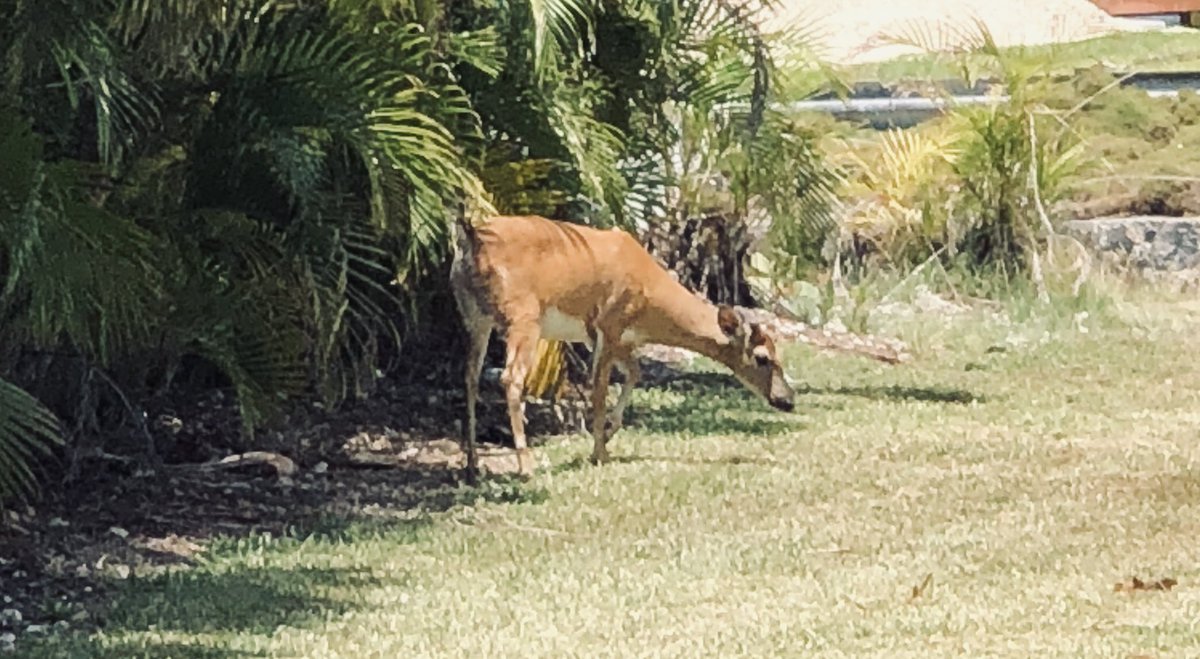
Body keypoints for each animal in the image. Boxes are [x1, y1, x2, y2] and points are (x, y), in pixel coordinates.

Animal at [450, 214, 796, 477]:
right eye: (763, 358)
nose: (788, 400)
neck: (651, 302)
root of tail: (472, 241)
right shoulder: (609, 325)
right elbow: (600, 390)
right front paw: (599, 452)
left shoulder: (611, 338)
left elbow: (635, 373)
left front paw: (606, 434)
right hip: (523, 316)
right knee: (510, 378)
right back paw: (526, 466)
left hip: (475, 315)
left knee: (470, 376)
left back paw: (472, 464)